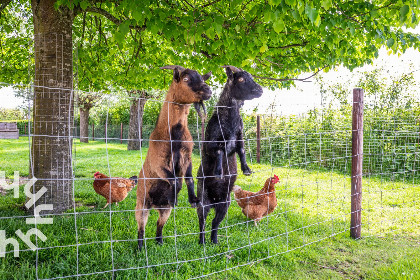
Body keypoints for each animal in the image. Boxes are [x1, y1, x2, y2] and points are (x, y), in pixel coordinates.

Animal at [136, 65, 212, 249]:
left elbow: (189, 179)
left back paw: (159, 241)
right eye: (185, 79)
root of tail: (154, 205)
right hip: (141, 203)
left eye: (202, 78)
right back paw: (140, 247)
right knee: (141, 226)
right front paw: (175, 197)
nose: (208, 90)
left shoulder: (187, 157)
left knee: (159, 223)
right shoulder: (159, 162)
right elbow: (175, 180)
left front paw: (193, 200)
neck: (174, 135)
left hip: (164, 211)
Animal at [197, 65, 262, 243]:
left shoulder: (239, 138)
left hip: (225, 203)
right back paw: (202, 242)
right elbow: (220, 150)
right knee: (202, 221)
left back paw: (214, 241)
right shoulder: (210, 144)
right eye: (240, 79)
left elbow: (242, 152)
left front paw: (246, 170)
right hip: (202, 200)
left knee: (215, 222)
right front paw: (219, 172)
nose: (260, 90)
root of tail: (213, 202)